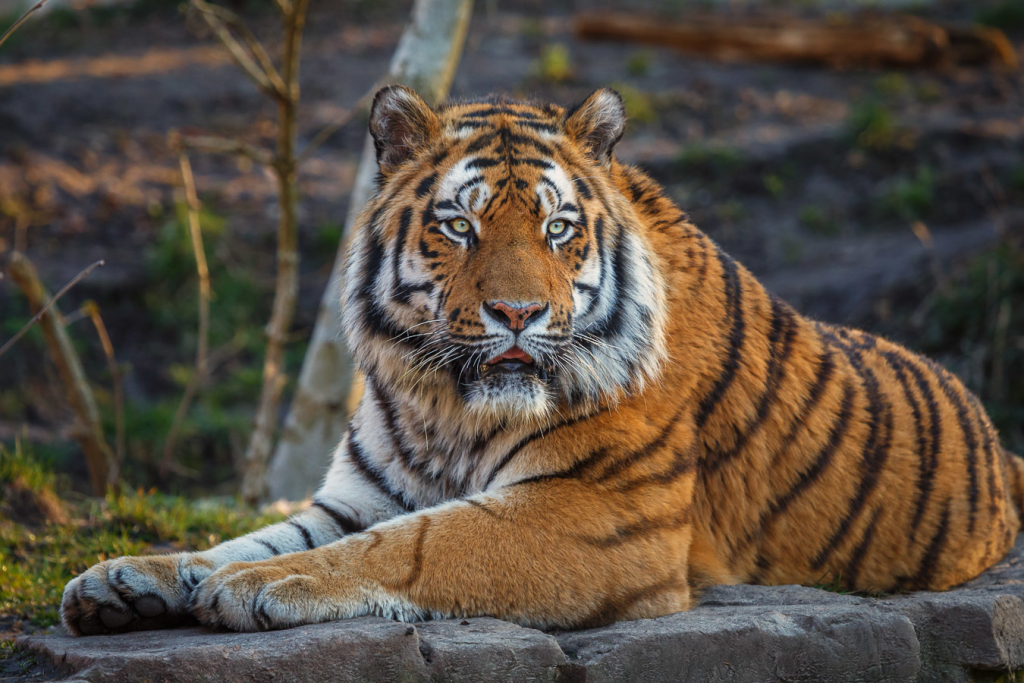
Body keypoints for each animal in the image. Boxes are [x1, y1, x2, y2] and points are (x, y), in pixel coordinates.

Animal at [61, 85, 1024, 634]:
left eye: (559, 228)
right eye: (460, 224)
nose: (518, 313)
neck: (441, 401)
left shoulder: (593, 514)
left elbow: (412, 546)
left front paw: (266, 584)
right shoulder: (357, 496)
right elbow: (245, 536)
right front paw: (129, 576)